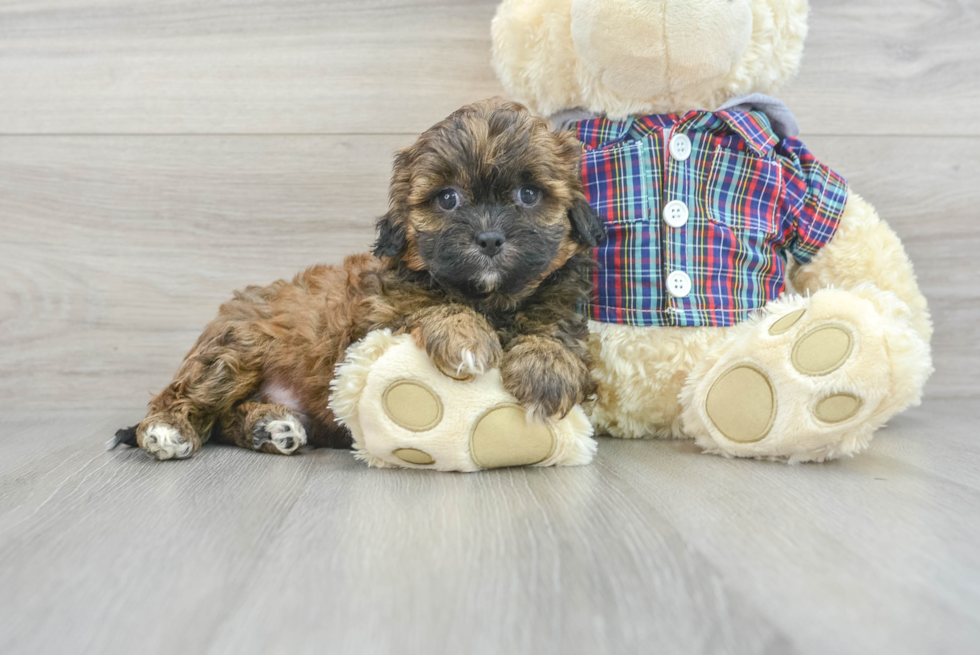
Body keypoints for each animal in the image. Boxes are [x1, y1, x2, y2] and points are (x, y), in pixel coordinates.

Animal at [115, 101, 604, 462]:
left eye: (529, 194)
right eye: (447, 199)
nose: (488, 238)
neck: (489, 298)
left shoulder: (559, 303)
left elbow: (555, 330)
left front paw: (546, 368)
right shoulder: (375, 320)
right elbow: (429, 306)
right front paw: (464, 334)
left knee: (225, 419)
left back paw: (270, 427)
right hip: (237, 348)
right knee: (187, 396)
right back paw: (167, 429)